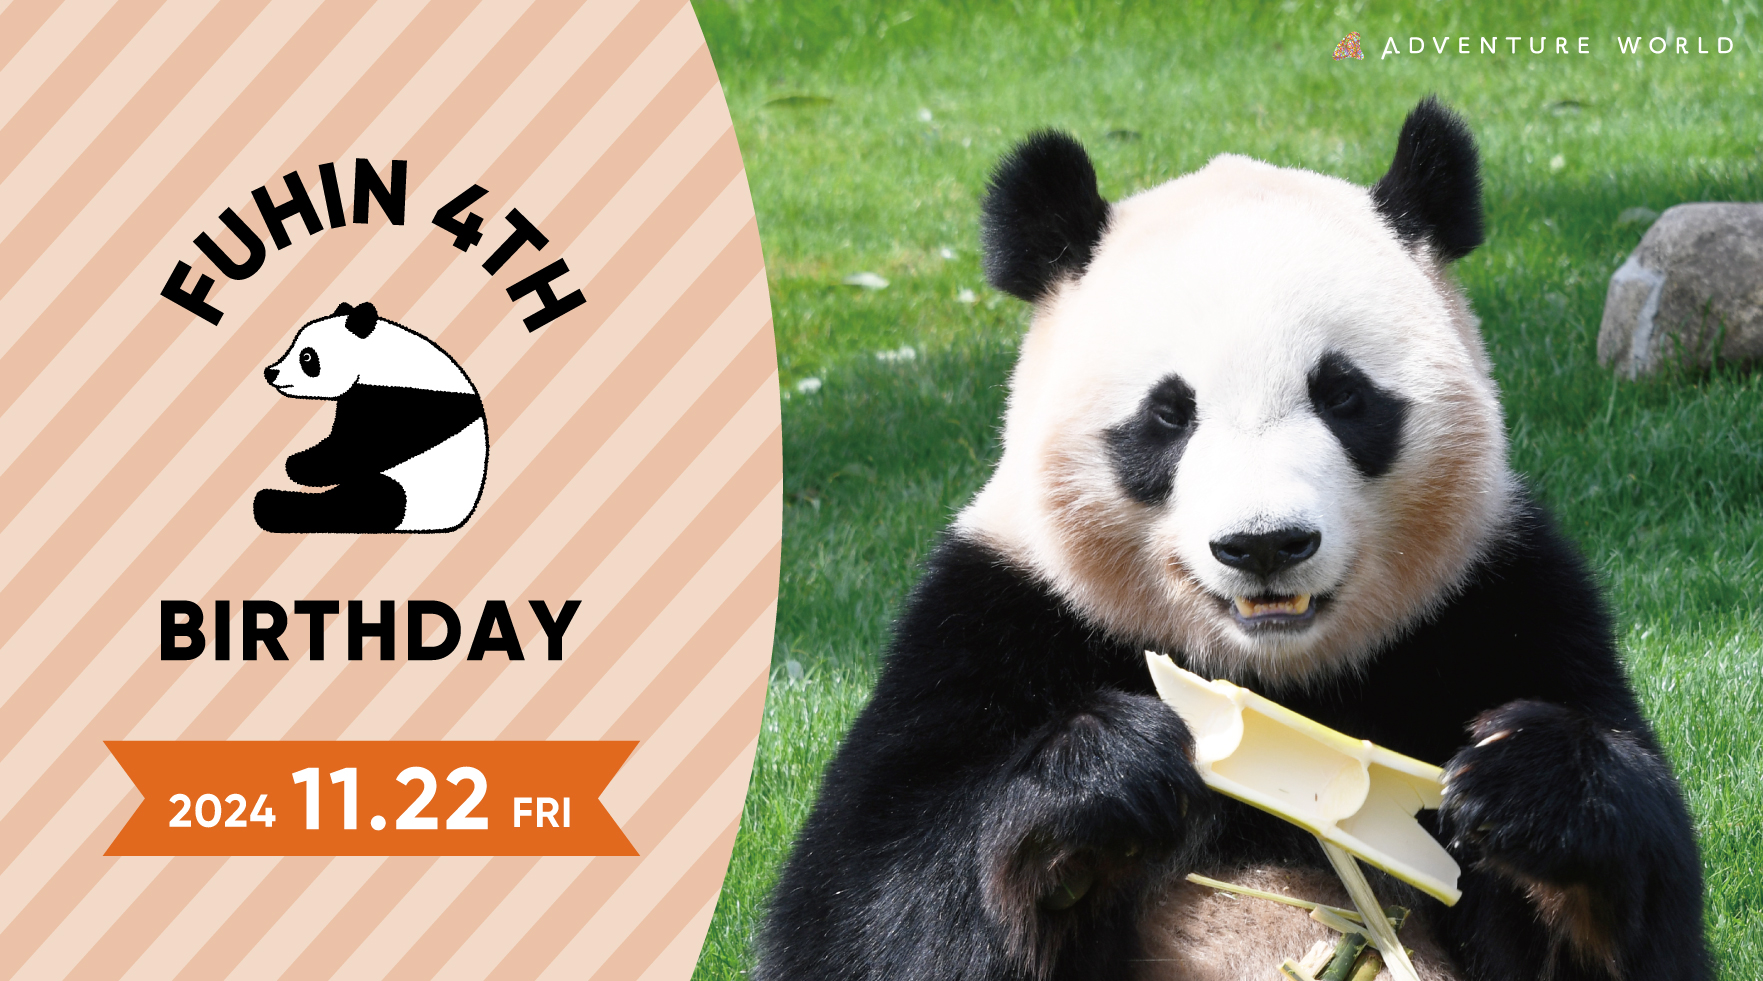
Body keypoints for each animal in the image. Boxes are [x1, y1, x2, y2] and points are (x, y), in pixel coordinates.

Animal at [254, 301, 488, 534]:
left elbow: (359, 448)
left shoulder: (410, 405)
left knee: (364, 500)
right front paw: (299, 461)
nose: (271, 372)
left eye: (307, 356)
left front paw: (299, 466)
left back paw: (268, 504)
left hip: (409, 490)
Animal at [756, 99, 1709, 981]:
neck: (1274, 678)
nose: (1263, 545)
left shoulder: (1500, 600)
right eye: (1167, 414)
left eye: (1343, 394)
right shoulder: (996, 616)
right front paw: (1104, 782)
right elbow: (862, 908)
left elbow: (1626, 932)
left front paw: (1523, 783)